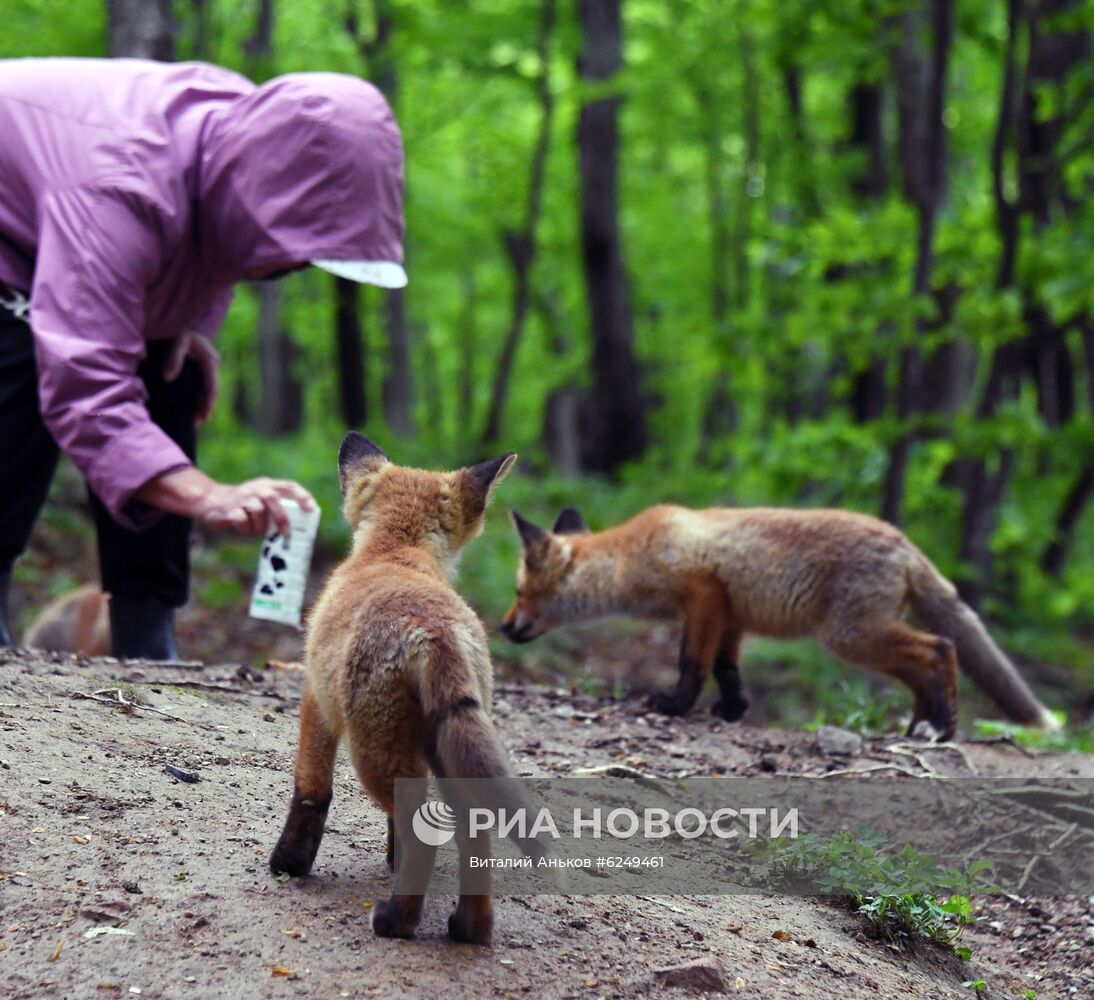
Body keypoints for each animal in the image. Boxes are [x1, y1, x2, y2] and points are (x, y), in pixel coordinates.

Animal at [273, 431, 547, 945]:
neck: (394, 551)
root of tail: (434, 629)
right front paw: (390, 860)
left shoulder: (316, 701)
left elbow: (311, 791)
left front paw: (288, 865)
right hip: (444, 747)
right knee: (472, 830)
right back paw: (469, 928)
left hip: (374, 753)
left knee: (426, 836)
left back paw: (396, 921)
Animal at [498, 503, 1058, 735]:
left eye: (519, 592)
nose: (502, 626)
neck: (633, 554)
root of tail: (902, 541)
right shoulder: (731, 612)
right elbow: (726, 669)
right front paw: (732, 710)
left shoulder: (703, 596)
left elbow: (691, 662)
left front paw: (674, 706)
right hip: (865, 640)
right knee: (923, 670)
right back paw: (921, 725)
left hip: (852, 637)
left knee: (942, 647)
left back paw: (942, 726)